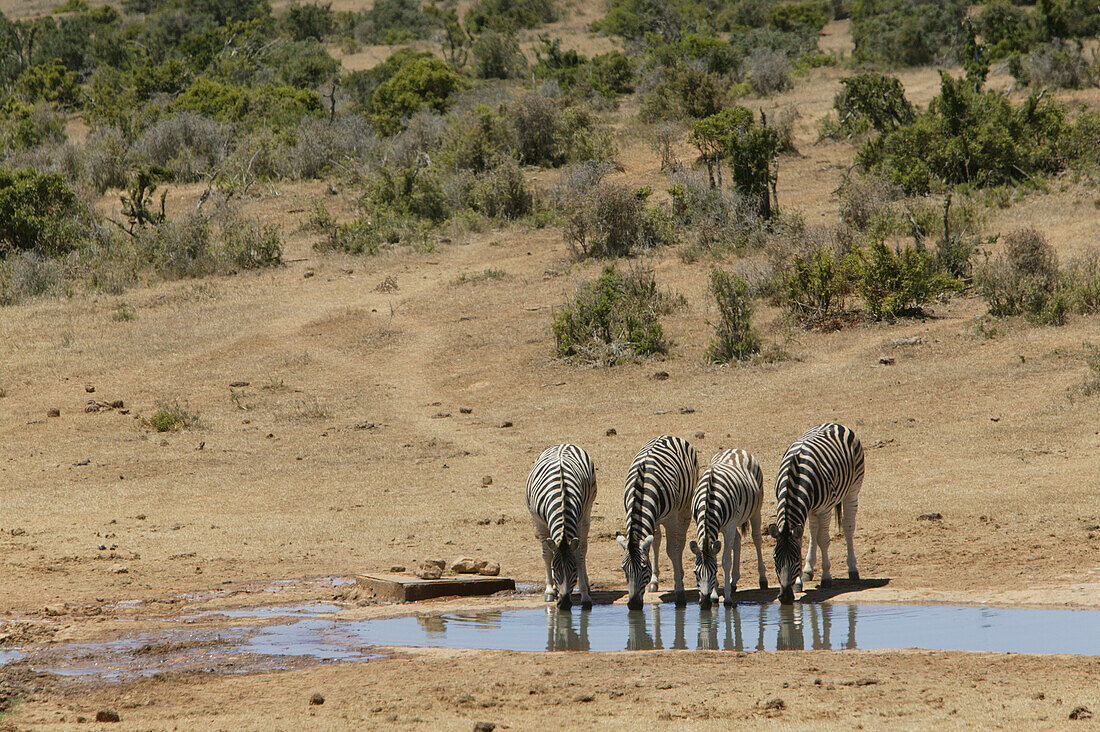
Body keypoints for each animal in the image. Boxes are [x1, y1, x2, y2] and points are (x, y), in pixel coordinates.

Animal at [523, 442, 594, 607]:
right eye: (555, 570)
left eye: (573, 569)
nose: (565, 603)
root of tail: (565, 444)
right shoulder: (539, 522)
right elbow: (547, 554)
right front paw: (549, 590)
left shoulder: (578, 520)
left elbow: (579, 555)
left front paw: (584, 594)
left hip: (587, 510)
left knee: (584, 548)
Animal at [620, 435, 695, 607]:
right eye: (624, 569)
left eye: (643, 568)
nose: (633, 605)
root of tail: (668, 435)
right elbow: (654, 544)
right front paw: (654, 581)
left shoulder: (671, 519)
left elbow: (672, 550)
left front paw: (679, 591)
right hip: (655, 520)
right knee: (656, 541)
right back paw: (654, 581)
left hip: (685, 506)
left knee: (680, 542)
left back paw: (680, 573)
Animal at [686, 449, 765, 607]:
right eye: (695, 573)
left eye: (715, 572)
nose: (705, 602)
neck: (709, 497)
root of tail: (736, 449)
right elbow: (717, 556)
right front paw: (715, 595)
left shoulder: (729, 527)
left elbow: (725, 560)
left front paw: (727, 598)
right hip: (734, 523)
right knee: (737, 541)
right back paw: (734, 581)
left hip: (755, 510)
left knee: (756, 539)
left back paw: (762, 579)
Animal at [770, 422, 862, 603]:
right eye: (775, 558)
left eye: (796, 558)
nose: (785, 597)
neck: (796, 476)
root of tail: (835, 423)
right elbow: (804, 539)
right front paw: (799, 581)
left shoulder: (825, 509)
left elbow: (824, 541)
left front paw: (826, 577)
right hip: (813, 509)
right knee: (813, 531)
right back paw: (808, 570)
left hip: (853, 488)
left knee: (848, 527)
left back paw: (853, 569)